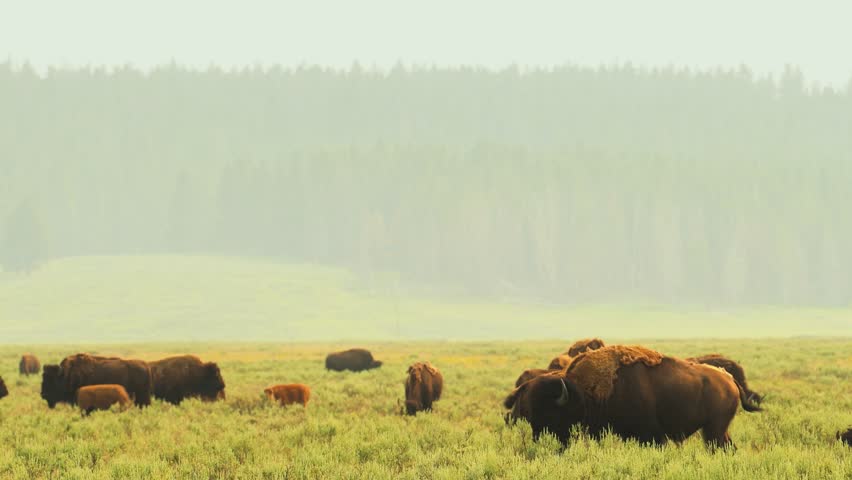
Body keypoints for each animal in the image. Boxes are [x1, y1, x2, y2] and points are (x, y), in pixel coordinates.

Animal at [505, 345, 760, 448]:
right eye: (527, 410)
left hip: (714, 429)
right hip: (717, 430)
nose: (537, 439)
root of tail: (730, 379)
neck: (582, 393)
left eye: (547, 412)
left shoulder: (651, 436)